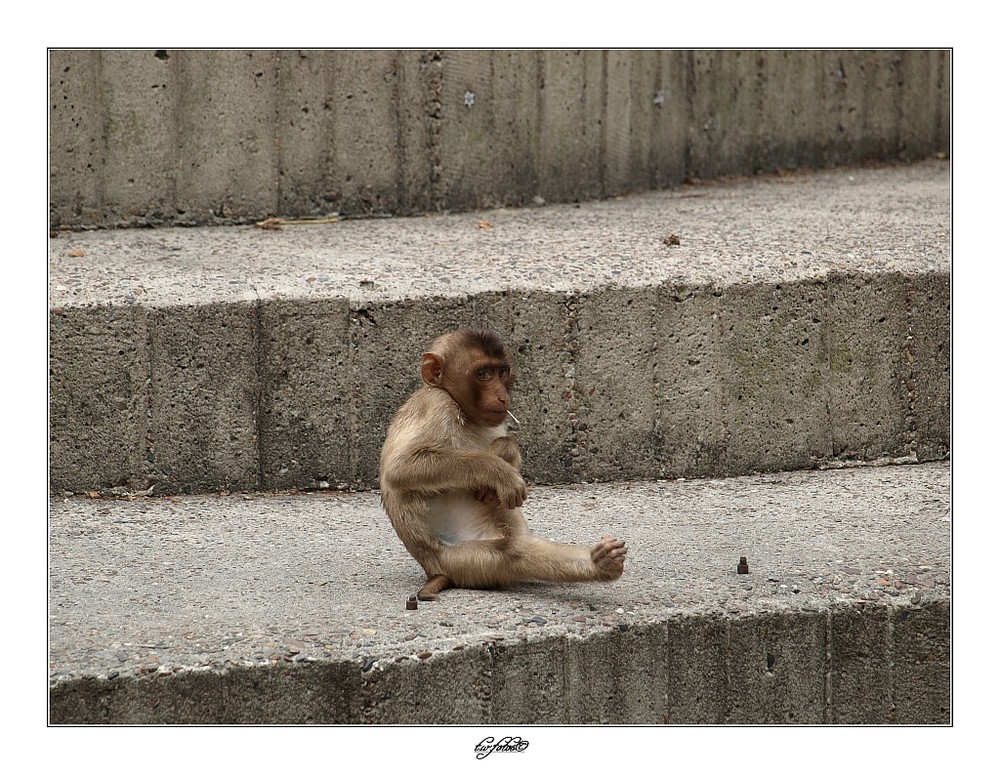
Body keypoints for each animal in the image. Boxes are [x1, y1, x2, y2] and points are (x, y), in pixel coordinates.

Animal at [380, 326, 624, 600]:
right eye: (483, 374)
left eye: (502, 372)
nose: (502, 396)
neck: (463, 411)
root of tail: (434, 571)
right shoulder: (436, 405)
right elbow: (401, 469)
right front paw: (499, 473)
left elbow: (504, 444)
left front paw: (505, 454)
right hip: (462, 560)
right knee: (511, 553)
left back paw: (602, 563)